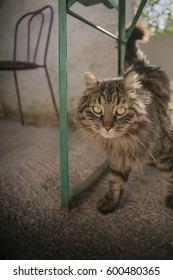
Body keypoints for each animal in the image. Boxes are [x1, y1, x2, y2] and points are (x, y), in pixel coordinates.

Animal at [75, 23, 173, 214]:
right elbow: (115, 181)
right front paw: (111, 203)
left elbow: (170, 177)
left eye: (120, 111)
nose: (107, 126)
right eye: (97, 109)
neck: (124, 141)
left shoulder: (167, 151)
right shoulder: (118, 156)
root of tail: (141, 65)